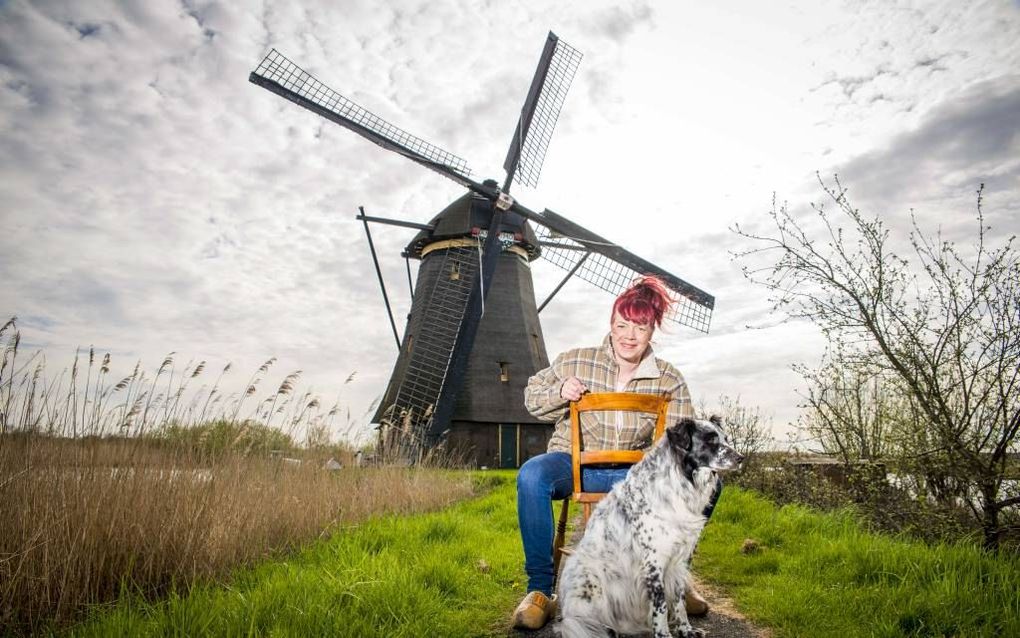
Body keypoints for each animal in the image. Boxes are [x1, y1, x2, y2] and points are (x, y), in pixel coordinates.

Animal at [558, 418, 742, 636]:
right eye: (711, 440)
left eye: (725, 438)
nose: (741, 458)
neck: (679, 484)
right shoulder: (654, 562)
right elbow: (660, 606)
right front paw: (664, 634)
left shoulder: (680, 561)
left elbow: (679, 600)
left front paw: (686, 630)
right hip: (591, 584)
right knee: (584, 621)